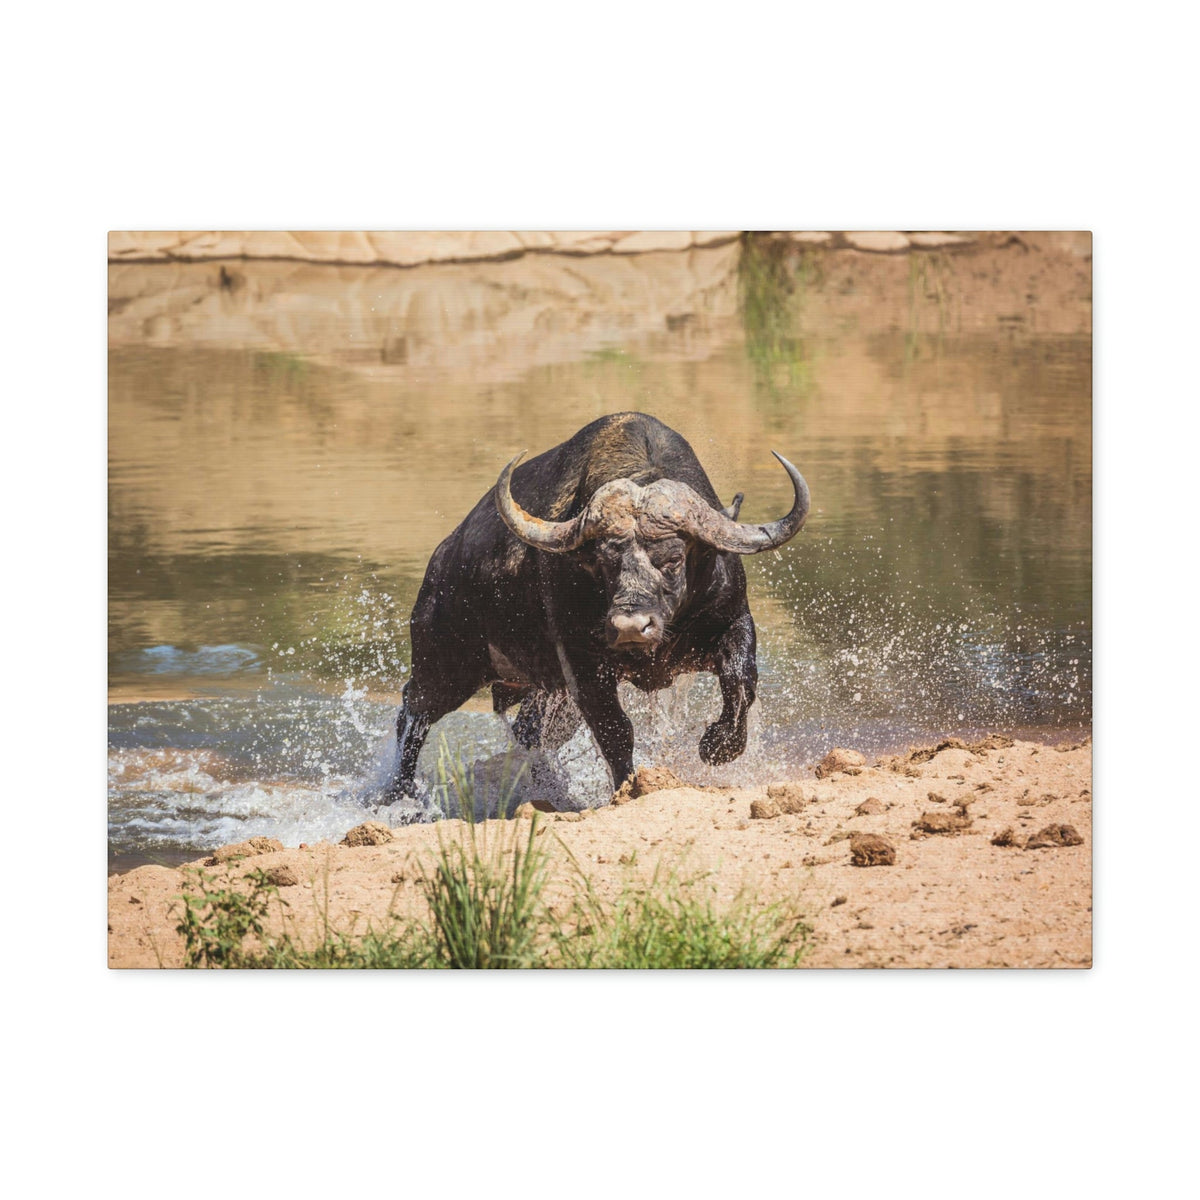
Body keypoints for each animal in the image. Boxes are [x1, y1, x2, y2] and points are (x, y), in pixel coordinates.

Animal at [383, 412, 809, 803]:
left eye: (673, 558)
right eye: (603, 562)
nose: (631, 627)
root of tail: (441, 561)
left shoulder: (732, 621)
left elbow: (741, 682)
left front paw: (718, 746)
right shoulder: (582, 662)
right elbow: (615, 729)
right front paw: (629, 788)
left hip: (545, 691)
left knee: (528, 732)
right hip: (445, 667)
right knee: (413, 715)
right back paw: (399, 795)